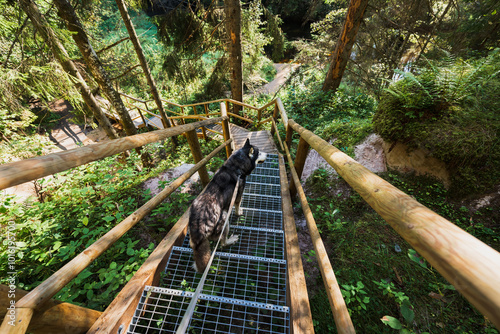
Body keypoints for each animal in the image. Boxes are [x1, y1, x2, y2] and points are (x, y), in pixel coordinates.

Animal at [188, 138, 268, 272]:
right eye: (260, 152)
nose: (267, 154)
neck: (236, 167)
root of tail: (199, 226)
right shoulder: (238, 194)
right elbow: (238, 206)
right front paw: (239, 212)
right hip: (225, 218)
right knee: (222, 243)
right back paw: (231, 240)